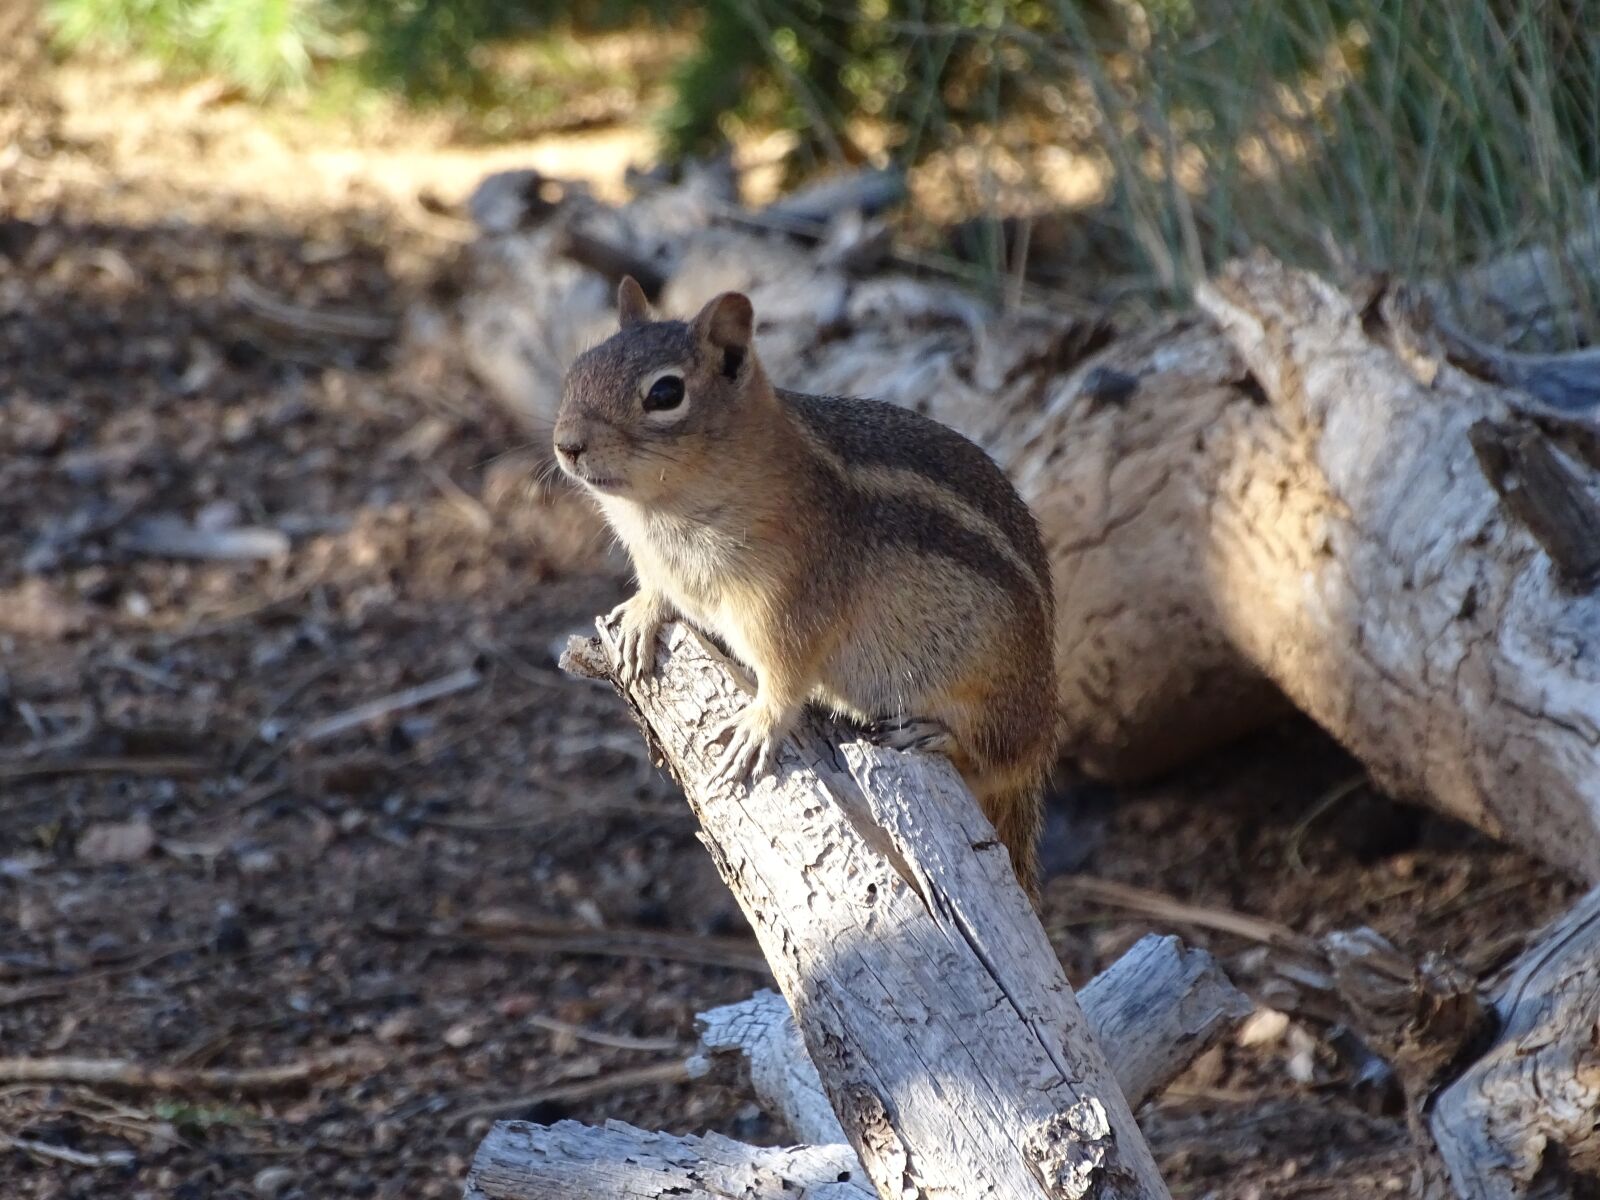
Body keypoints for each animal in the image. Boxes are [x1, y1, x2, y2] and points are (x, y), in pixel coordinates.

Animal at [554, 276, 1059, 897]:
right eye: (577, 369)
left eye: (665, 393)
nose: (566, 444)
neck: (661, 516)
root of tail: (1045, 724)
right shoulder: (662, 566)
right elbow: (656, 594)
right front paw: (642, 616)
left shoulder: (788, 602)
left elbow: (786, 677)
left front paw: (757, 726)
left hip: (993, 696)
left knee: (997, 755)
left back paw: (932, 734)